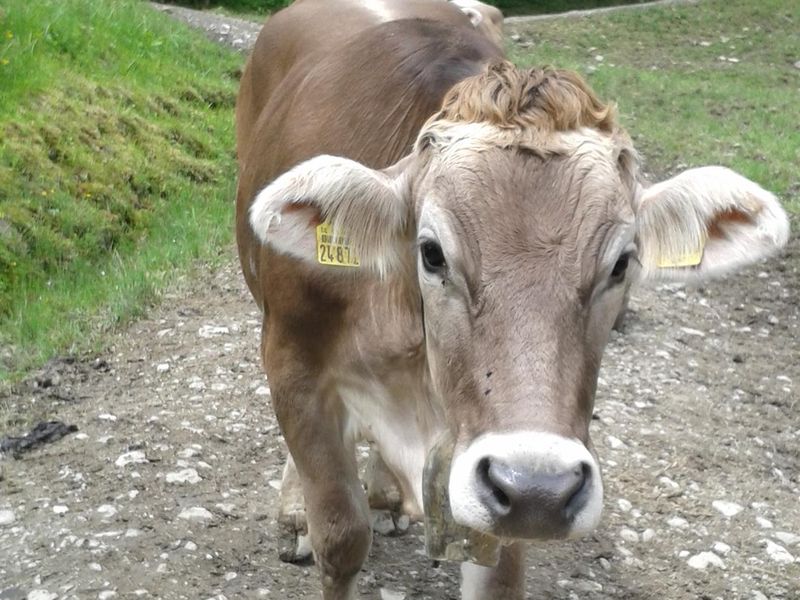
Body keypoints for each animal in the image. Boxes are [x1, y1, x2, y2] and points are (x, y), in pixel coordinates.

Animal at [234, 2, 792, 596]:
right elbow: (340, 538)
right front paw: (309, 519)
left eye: (622, 263)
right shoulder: (293, 365)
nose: (538, 488)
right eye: (430, 252)